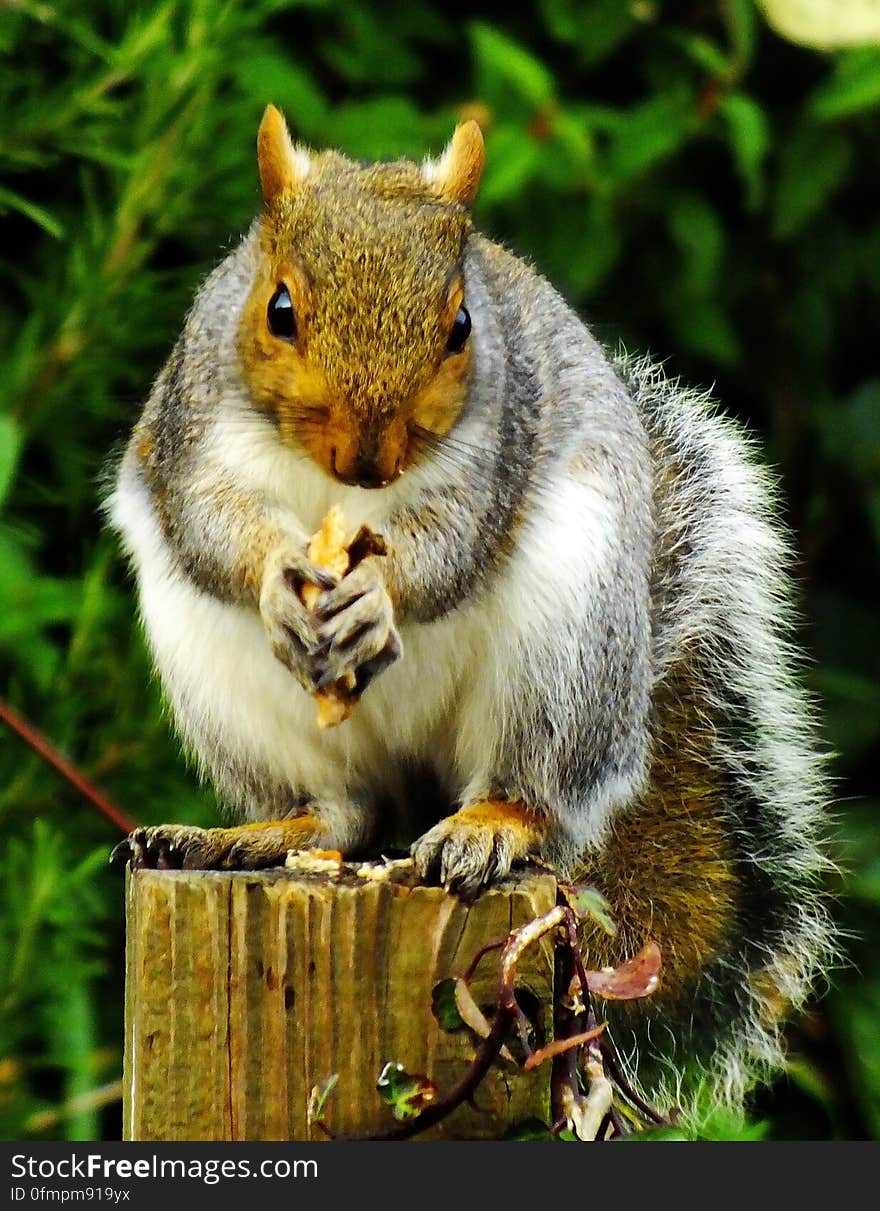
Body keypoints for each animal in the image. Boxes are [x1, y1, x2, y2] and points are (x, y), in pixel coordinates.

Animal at [108, 106, 832, 1123]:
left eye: (461, 327)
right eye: (278, 309)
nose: (367, 458)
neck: (339, 496)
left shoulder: (495, 452)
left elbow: (449, 548)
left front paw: (381, 595)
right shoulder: (187, 431)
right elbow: (210, 520)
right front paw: (278, 573)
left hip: (565, 654)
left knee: (537, 790)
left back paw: (489, 823)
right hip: (222, 684)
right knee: (344, 813)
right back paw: (250, 835)